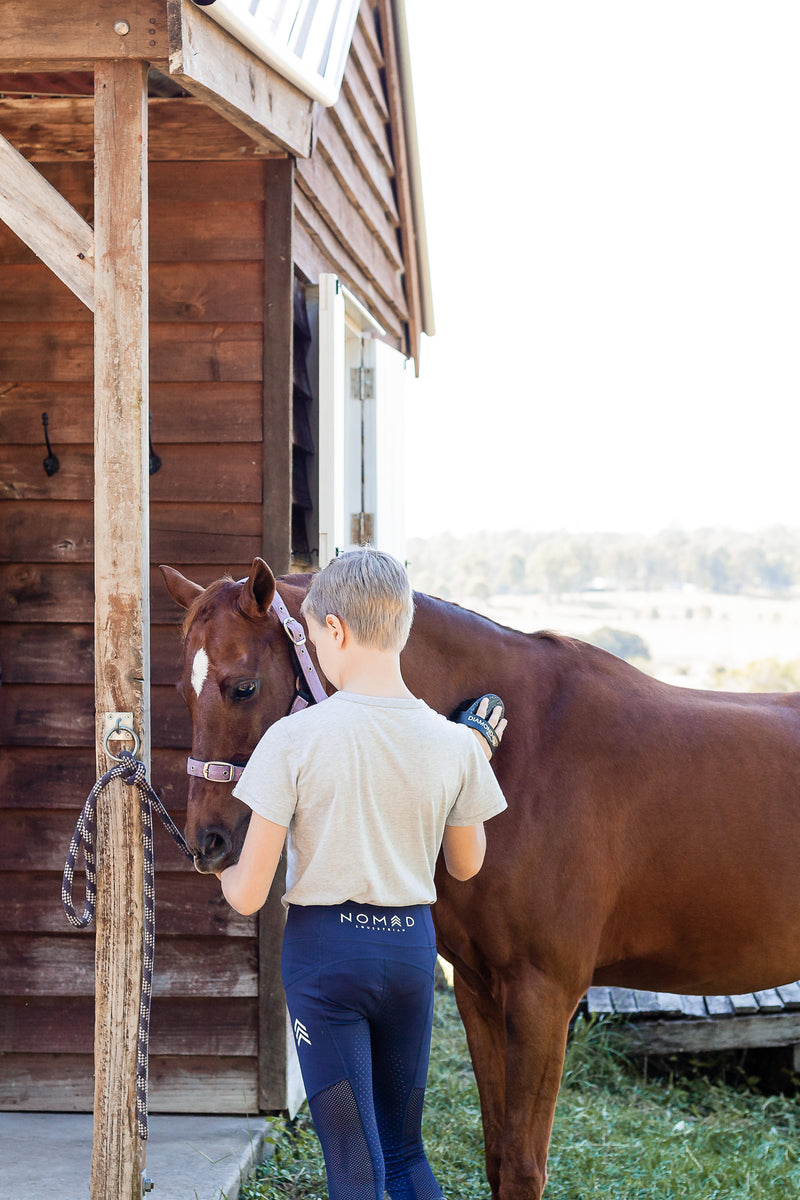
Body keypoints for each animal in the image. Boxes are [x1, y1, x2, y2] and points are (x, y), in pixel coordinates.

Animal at [159, 561, 800, 1200]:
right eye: (183, 692)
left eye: (243, 687)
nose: (206, 843)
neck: (528, 751)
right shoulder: (479, 990)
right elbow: (497, 1157)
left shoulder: (544, 997)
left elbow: (521, 1166)